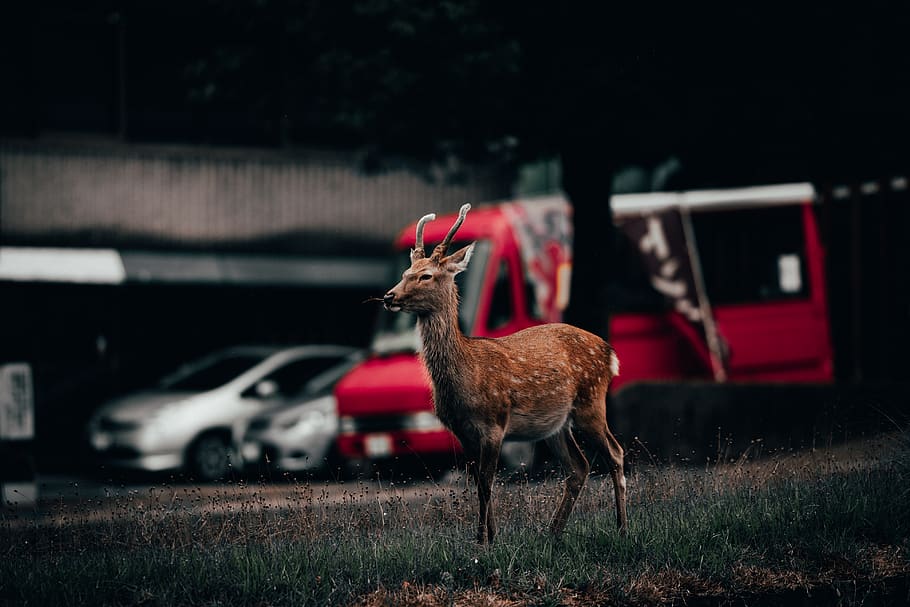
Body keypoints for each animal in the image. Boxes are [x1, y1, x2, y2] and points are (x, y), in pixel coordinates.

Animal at [382, 203, 627, 544]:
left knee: (615, 453)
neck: (465, 375)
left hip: (590, 403)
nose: (389, 296)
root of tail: (609, 353)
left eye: (426, 275)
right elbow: (478, 484)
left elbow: (487, 482)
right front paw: (489, 536)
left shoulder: (494, 423)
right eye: (406, 273)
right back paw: (552, 532)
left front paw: (484, 540)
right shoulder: (462, 431)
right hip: (556, 424)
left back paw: (622, 527)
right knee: (578, 467)